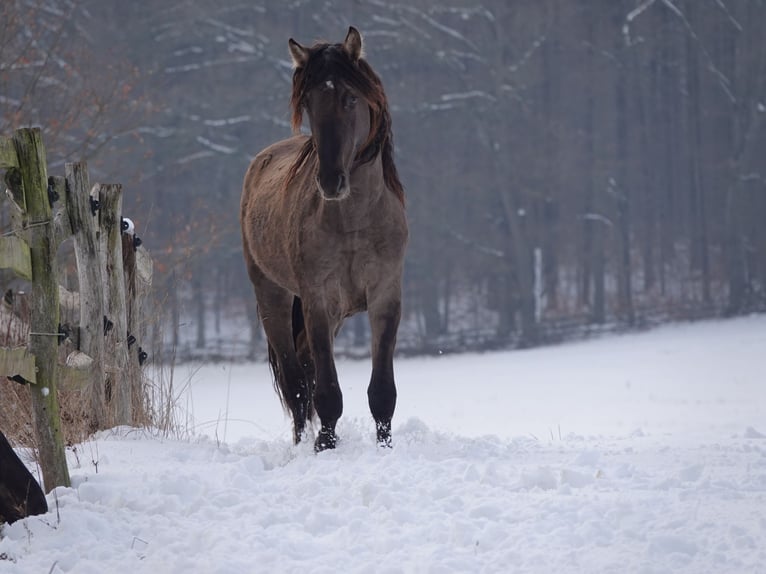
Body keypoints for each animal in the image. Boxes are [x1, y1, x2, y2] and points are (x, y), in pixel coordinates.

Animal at [240, 27, 408, 451]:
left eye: (350, 97)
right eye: (310, 102)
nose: (331, 181)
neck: (354, 223)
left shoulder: (385, 298)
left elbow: (382, 392)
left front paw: (385, 448)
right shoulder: (318, 299)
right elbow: (326, 392)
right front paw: (324, 446)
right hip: (273, 297)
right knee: (296, 382)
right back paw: (301, 444)